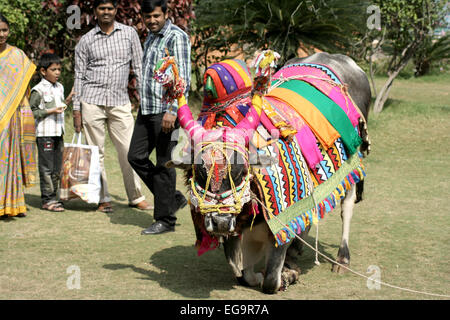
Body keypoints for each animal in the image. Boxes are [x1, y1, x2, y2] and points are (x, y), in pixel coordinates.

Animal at [154, 51, 370, 294]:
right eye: (200, 173)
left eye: (241, 172)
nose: (220, 222)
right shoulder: (236, 232)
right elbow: (242, 274)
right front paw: (268, 271)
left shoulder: (281, 224)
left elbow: (270, 280)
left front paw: (287, 276)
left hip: (353, 165)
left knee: (347, 207)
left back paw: (342, 259)